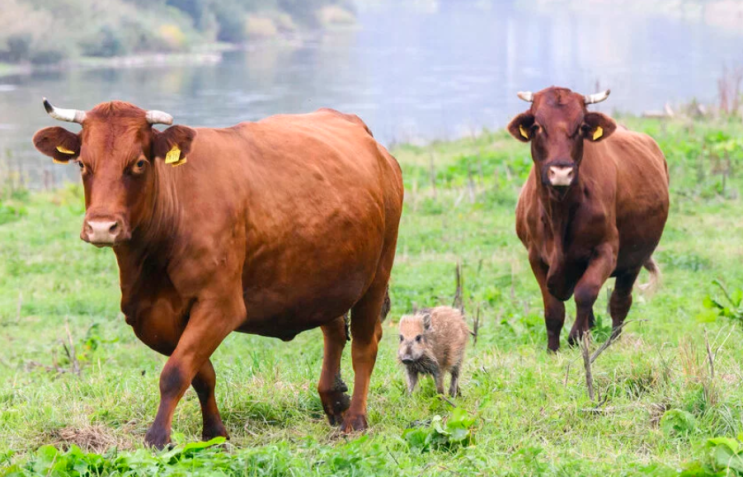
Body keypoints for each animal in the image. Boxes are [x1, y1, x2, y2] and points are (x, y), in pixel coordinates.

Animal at [32, 98, 404, 448]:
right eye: (83, 163)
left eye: (138, 163)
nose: (101, 227)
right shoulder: (148, 314)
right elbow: (201, 374)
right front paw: (214, 433)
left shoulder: (221, 304)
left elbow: (175, 372)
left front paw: (158, 438)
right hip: (327, 275)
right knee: (335, 328)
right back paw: (334, 398)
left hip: (378, 271)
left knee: (365, 345)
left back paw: (355, 419)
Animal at [508, 87, 672, 352]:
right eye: (538, 126)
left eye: (580, 126)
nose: (561, 172)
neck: (559, 213)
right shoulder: (536, 256)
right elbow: (553, 308)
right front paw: (552, 350)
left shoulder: (606, 250)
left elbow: (585, 293)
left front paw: (576, 337)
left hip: (634, 260)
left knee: (620, 301)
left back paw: (611, 341)